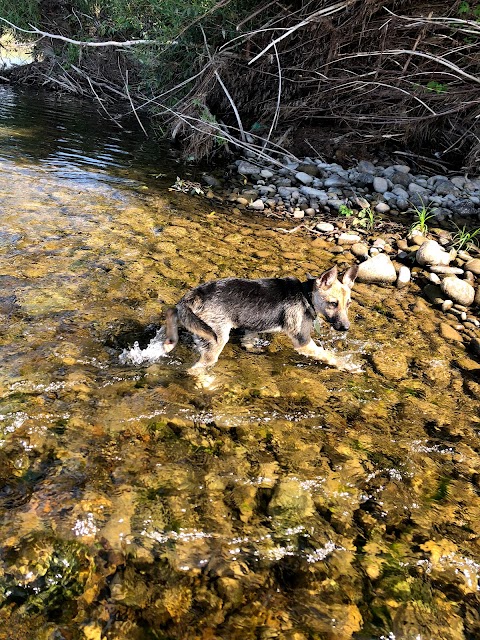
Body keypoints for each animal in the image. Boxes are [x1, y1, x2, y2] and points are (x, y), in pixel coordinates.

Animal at [163, 264, 358, 372]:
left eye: (348, 304)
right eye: (333, 304)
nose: (346, 328)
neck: (306, 294)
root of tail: (196, 294)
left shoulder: (252, 325)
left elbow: (249, 337)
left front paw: (251, 347)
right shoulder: (303, 342)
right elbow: (327, 354)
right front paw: (346, 365)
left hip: (192, 317)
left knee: (172, 311)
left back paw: (169, 342)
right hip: (215, 337)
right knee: (195, 369)